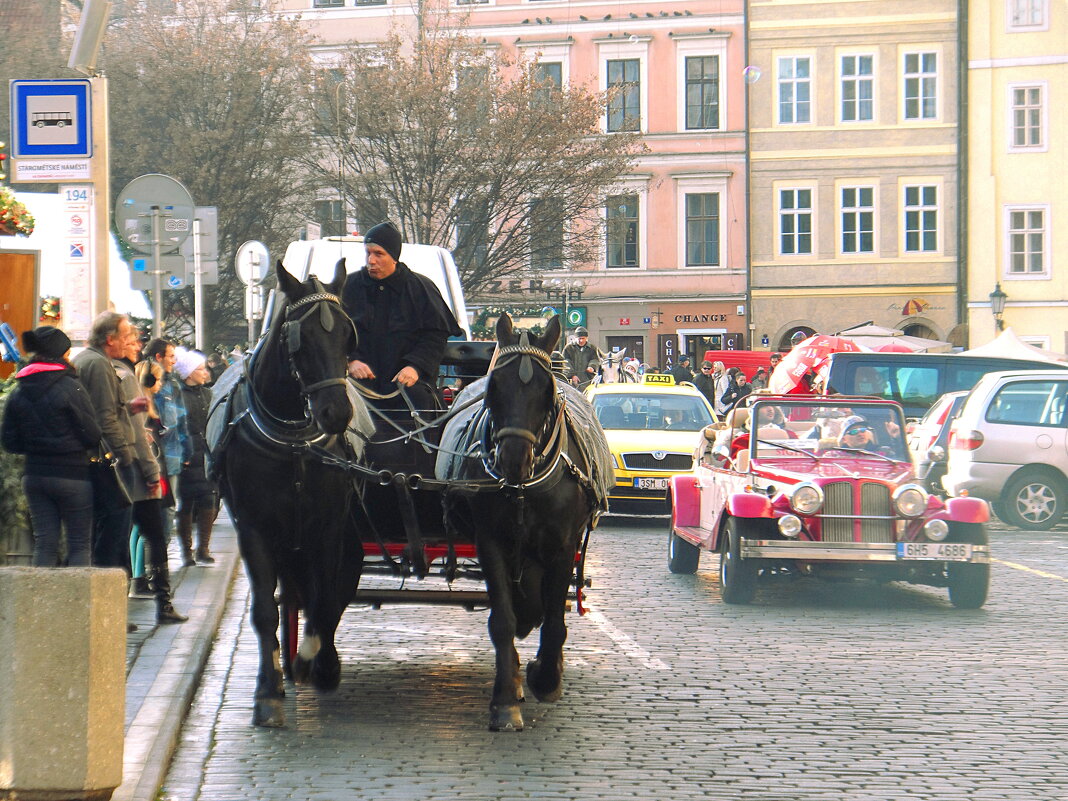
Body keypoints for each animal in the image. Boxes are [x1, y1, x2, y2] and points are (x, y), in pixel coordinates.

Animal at [208, 260, 367, 730]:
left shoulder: (329, 527)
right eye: (300, 338)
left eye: (347, 335)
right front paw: (268, 691)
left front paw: (321, 663)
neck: (293, 443)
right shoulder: (253, 529)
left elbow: (325, 598)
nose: (336, 413)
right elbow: (264, 609)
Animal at [437, 313, 615, 734]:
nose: (513, 458)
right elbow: (503, 619)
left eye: (547, 391)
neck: (524, 488)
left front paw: (545, 677)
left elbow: (553, 618)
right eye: (494, 386)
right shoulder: (491, 543)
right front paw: (505, 698)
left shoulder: (562, 546)